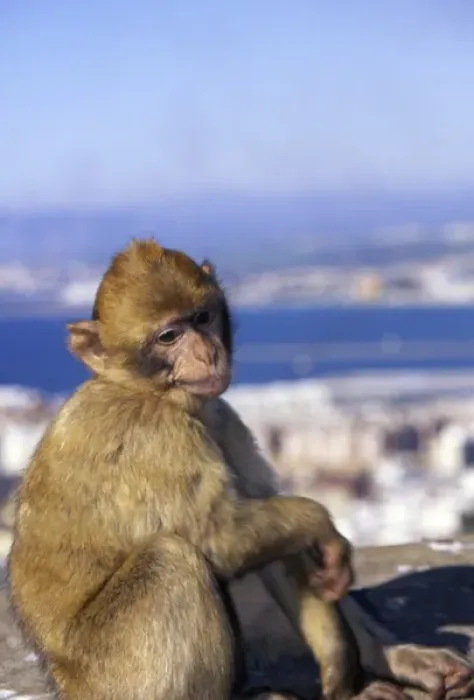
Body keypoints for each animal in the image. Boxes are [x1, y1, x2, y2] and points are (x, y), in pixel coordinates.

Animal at [6, 239, 474, 700]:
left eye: (202, 318)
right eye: (168, 336)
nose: (205, 351)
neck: (153, 393)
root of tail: (66, 682)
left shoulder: (223, 420)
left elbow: (278, 541)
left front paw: (350, 668)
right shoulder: (153, 435)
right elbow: (220, 535)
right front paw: (320, 524)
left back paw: (389, 656)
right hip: (116, 675)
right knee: (172, 558)